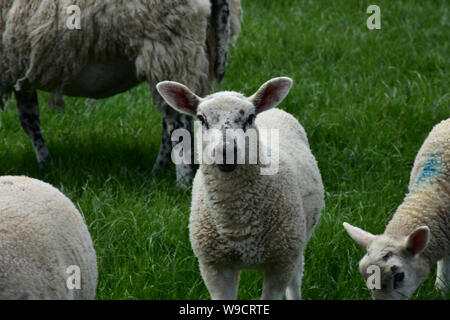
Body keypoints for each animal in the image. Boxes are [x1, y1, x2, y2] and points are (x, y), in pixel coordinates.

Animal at [0, 0, 243, 188]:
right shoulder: (20, 69)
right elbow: (30, 120)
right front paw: (45, 165)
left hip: (171, 48)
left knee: (179, 126)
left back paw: (181, 184)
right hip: (196, 54)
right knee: (172, 122)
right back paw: (157, 172)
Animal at [157, 77, 324, 300]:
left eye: (250, 117)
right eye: (201, 118)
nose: (226, 152)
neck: (237, 224)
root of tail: (273, 110)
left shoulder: (281, 262)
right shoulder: (214, 266)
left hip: (297, 242)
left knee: (296, 280)